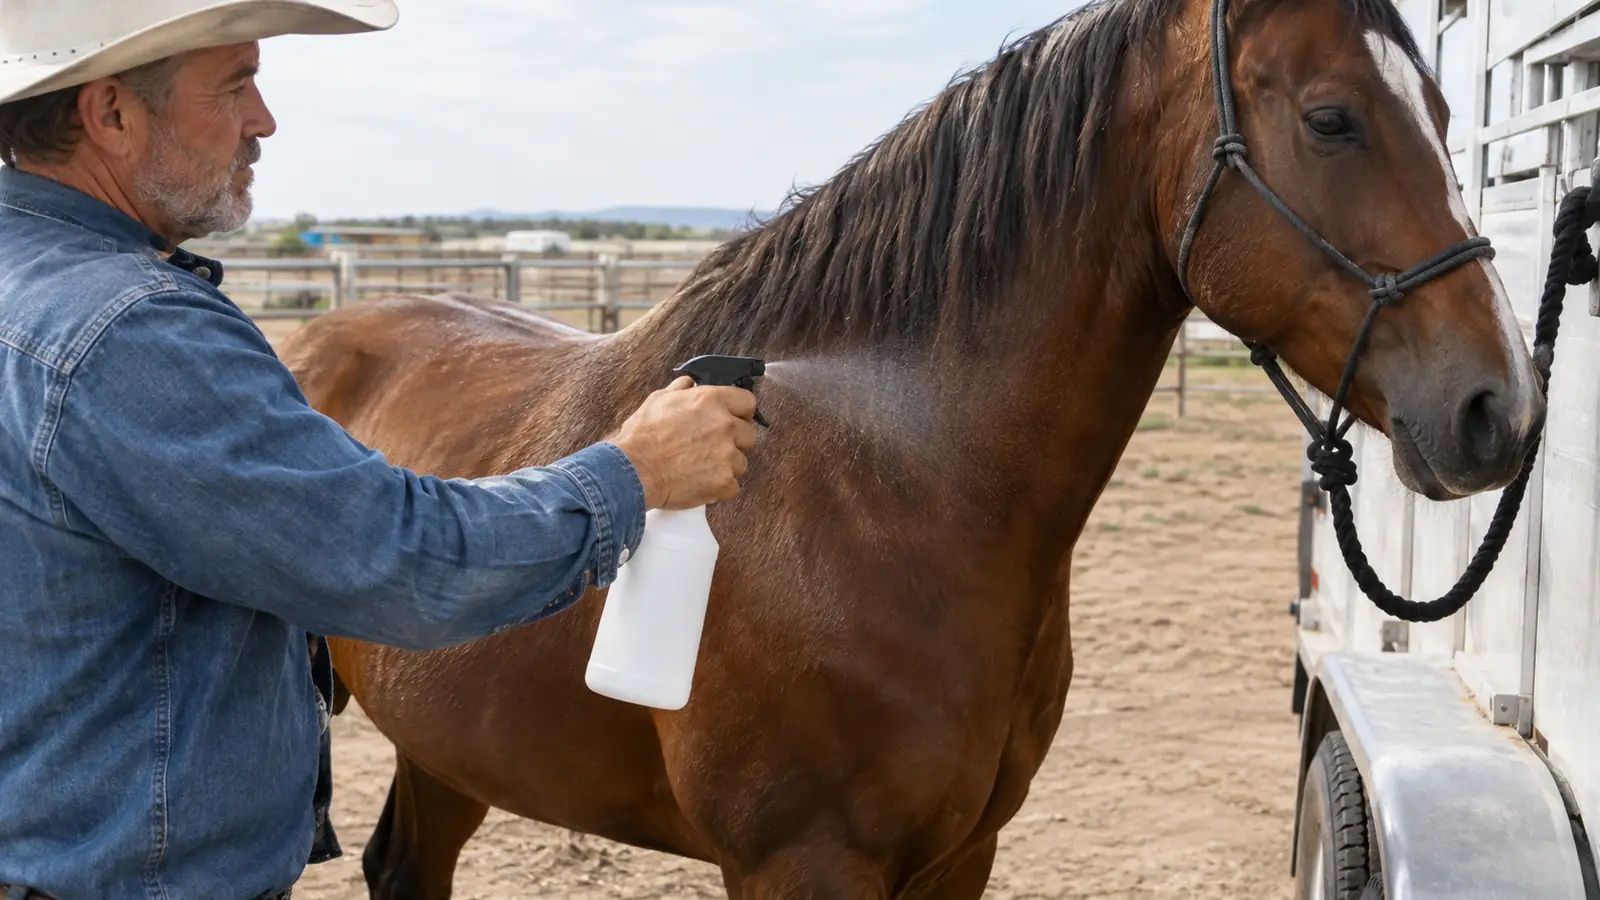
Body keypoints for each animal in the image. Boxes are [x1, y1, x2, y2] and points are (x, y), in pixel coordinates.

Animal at [277, 0, 1545, 896]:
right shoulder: (800, 867)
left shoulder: (958, 857)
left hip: (448, 749)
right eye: (1332, 118)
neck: (890, 495)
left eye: (1444, 117)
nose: (1500, 410)